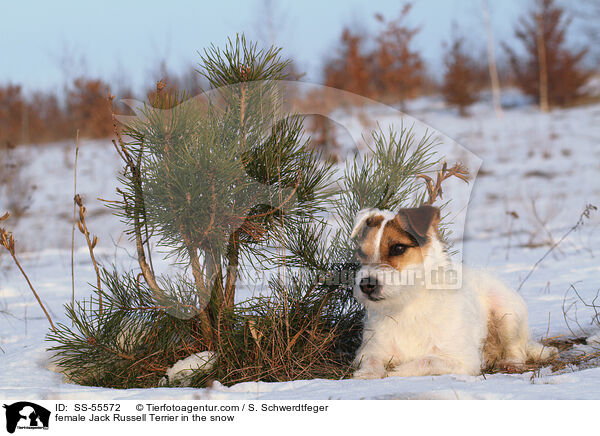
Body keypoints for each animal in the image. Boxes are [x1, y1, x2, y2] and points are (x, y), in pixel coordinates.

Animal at [350, 204, 556, 378]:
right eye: (361, 253)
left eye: (398, 248)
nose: (366, 285)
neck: (408, 305)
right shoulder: (370, 351)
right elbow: (371, 361)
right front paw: (367, 373)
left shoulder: (463, 360)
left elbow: (427, 361)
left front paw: (397, 372)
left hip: (507, 313)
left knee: (516, 348)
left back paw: (511, 363)